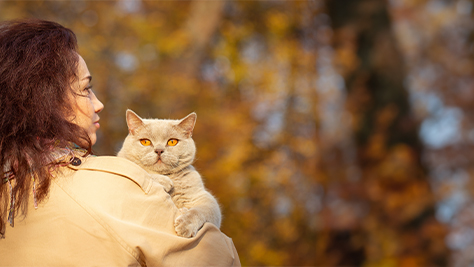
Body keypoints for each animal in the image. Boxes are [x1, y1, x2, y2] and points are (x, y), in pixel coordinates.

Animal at [118, 109, 222, 239]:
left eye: (172, 142)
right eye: (145, 142)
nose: (159, 150)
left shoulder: (204, 198)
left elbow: (198, 211)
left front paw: (185, 224)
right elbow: (142, 171)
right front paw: (166, 182)